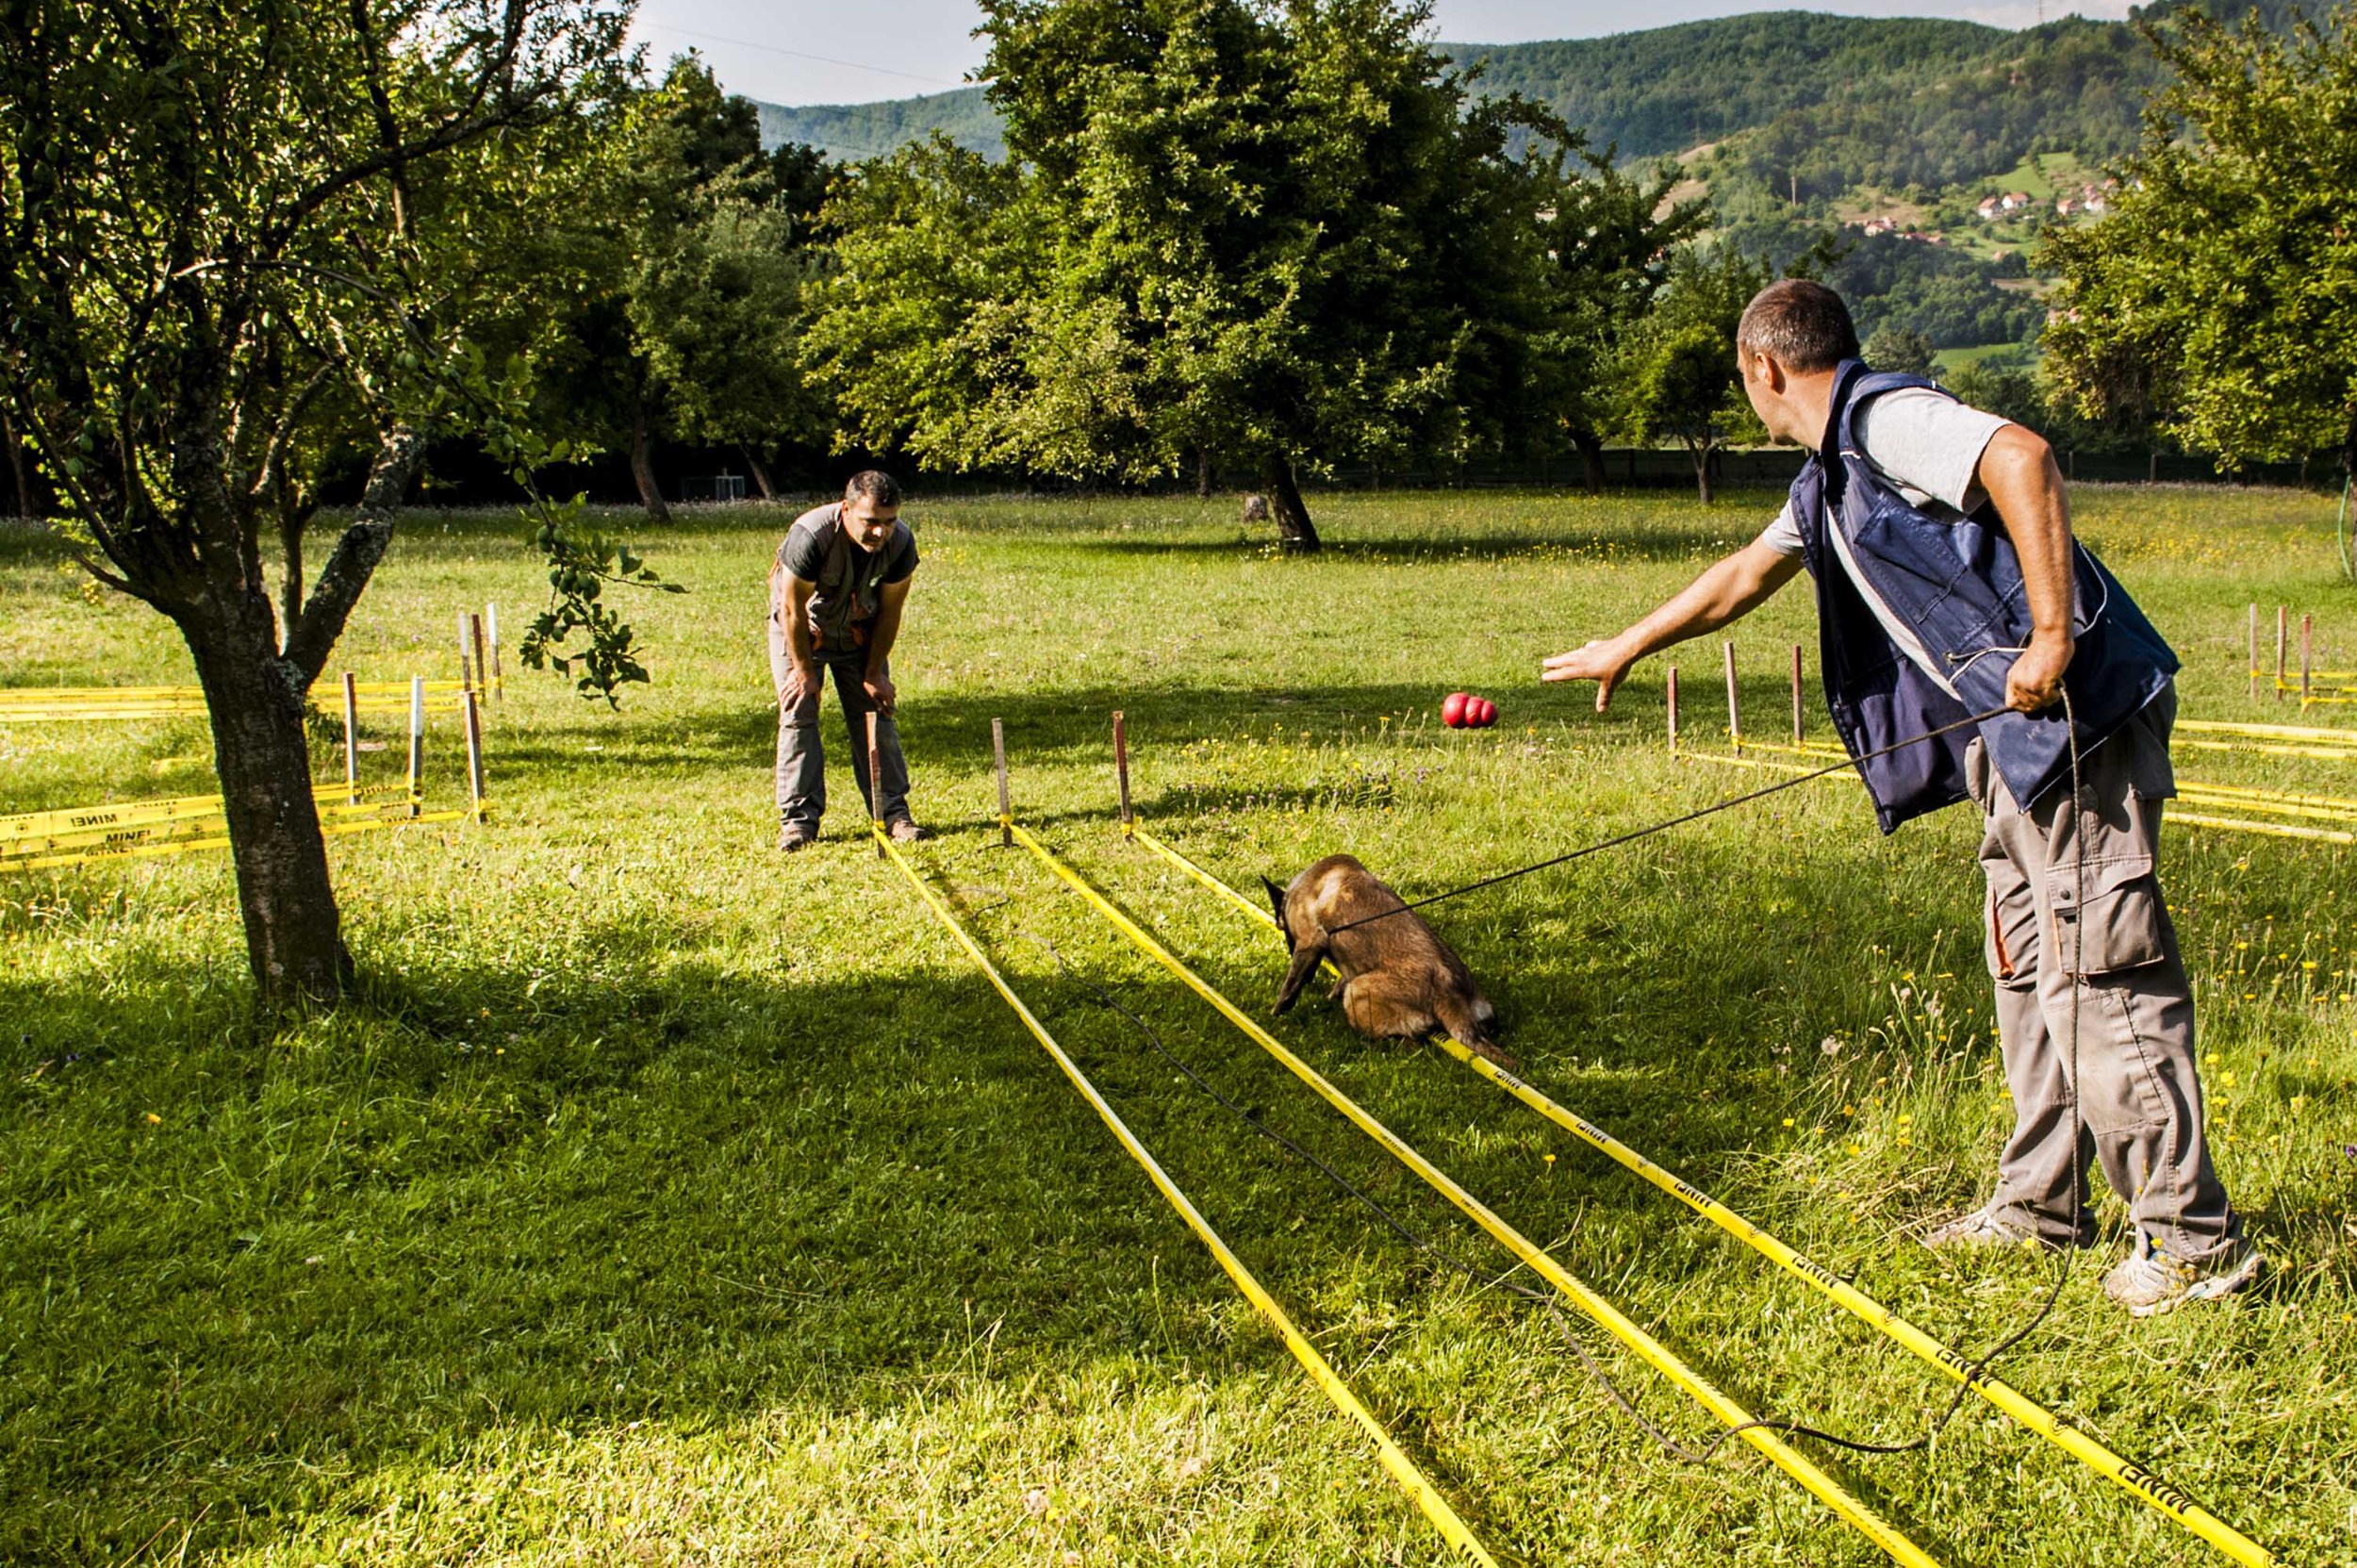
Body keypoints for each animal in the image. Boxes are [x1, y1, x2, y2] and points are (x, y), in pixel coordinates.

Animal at [1263, 849, 1518, 1070]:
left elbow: (1290, 984)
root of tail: (1449, 992)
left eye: (1281, 928)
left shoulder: (1310, 943)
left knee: (1407, 1042)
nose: (1289, 949)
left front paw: (1276, 1012)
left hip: (1357, 992)